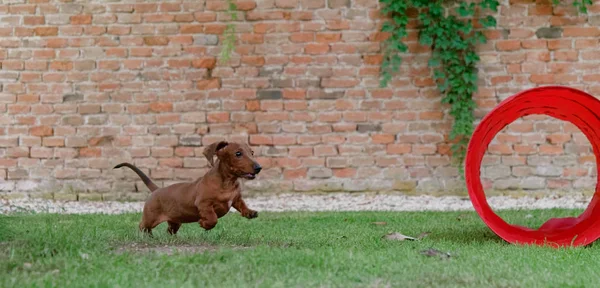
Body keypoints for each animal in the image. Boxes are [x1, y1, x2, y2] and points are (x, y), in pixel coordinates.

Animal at [113, 141, 262, 235]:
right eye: (238, 154)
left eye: (252, 152)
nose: (258, 167)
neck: (227, 182)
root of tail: (156, 190)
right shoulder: (204, 204)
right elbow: (212, 218)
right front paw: (204, 224)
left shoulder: (236, 198)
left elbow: (242, 205)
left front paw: (250, 212)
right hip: (150, 219)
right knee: (142, 227)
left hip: (175, 222)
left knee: (168, 231)